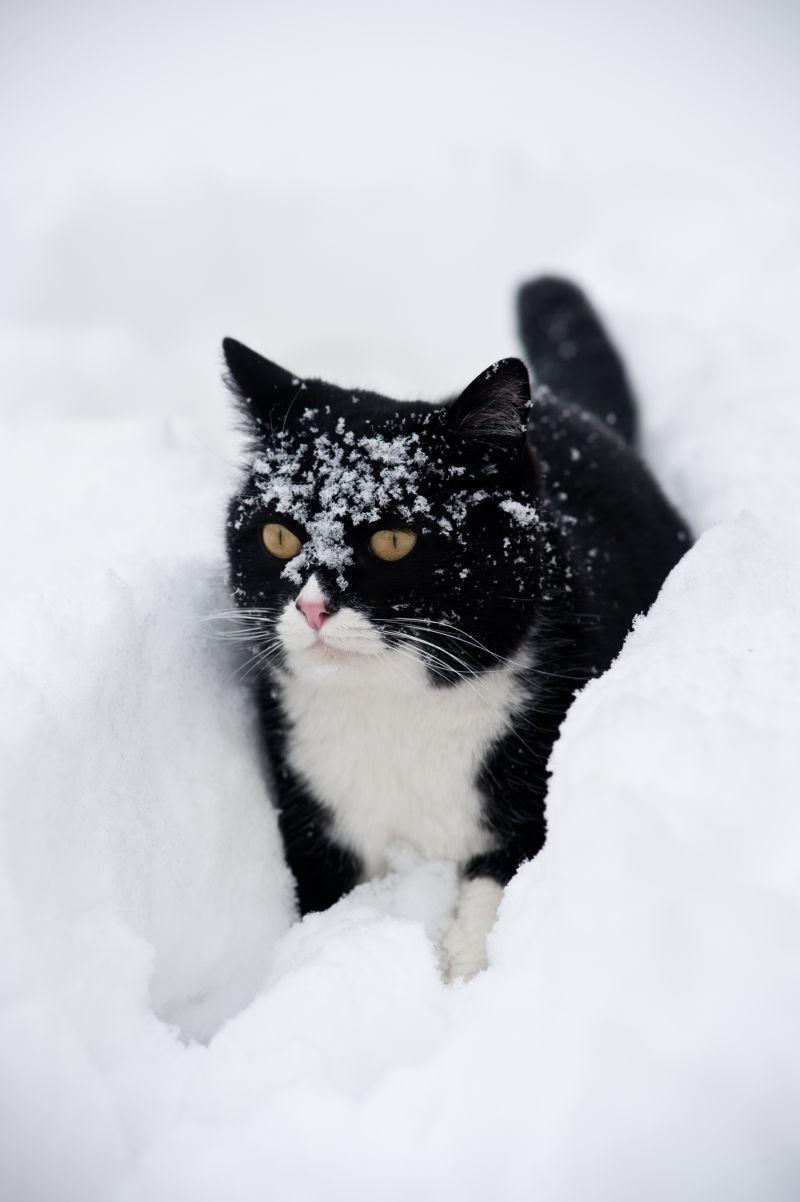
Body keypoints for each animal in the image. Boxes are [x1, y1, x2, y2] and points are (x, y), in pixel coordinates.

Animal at [221, 278, 687, 976]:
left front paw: (462, 967)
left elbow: (502, 879)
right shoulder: (309, 808)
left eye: (393, 540)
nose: (312, 608)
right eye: (279, 534)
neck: (397, 718)